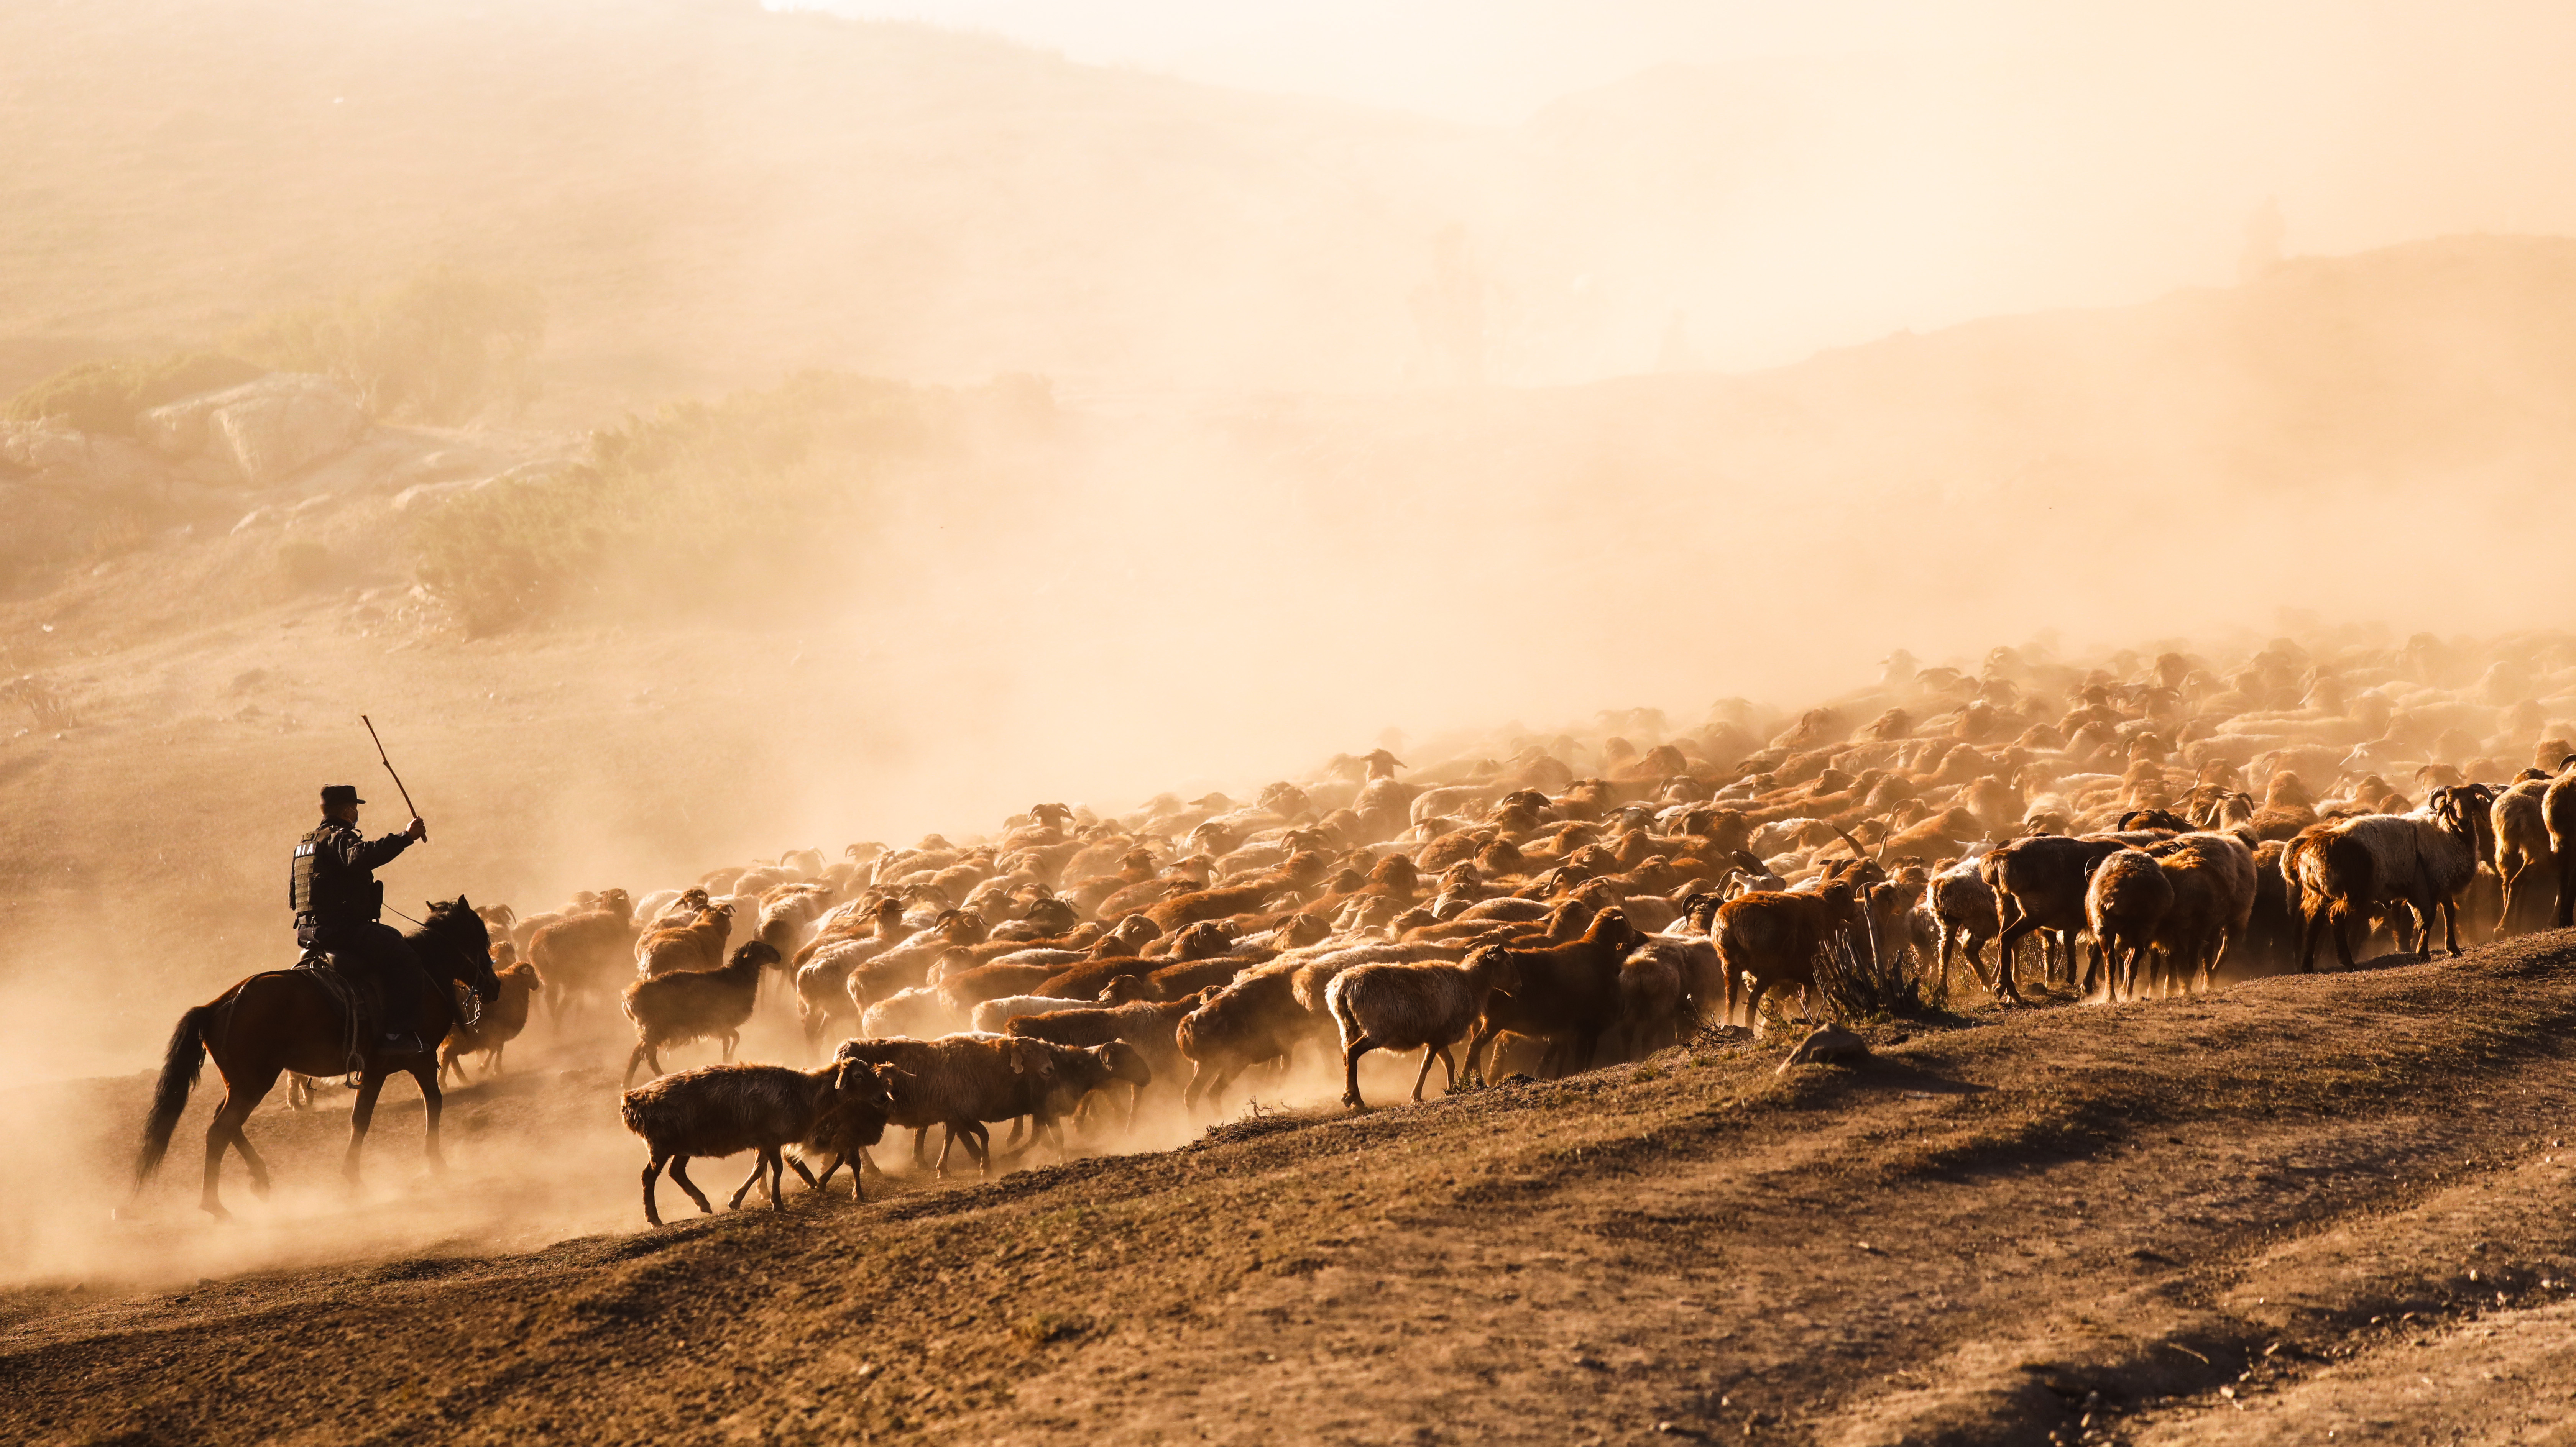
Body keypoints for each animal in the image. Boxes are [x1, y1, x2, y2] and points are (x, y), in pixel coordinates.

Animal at [127, 901, 497, 1215]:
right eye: (481, 937)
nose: (494, 987)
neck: (423, 971)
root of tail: (219, 1004)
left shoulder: (380, 1069)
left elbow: (365, 1118)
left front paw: (355, 1177)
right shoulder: (416, 1059)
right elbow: (427, 1103)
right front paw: (433, 1164)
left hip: (242, 1084)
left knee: (227, 1125)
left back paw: (259, 1180)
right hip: (253, 1085)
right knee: (219, 1131)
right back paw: (216, 1207)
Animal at [621, 1055, 907, 1220]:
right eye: (858, 1076)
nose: (883, 1098)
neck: (804, 1092)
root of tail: (632, 1101)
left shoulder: (765, 1140)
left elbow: (760, 1169)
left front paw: (737, 1200)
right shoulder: (771, 1138)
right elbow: (776, 1169)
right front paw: (777, 1203)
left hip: (683, 1145)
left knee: (677, 1172)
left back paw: (703, 1203)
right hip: (660, 1145)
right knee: (649, 1177)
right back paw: (654, 1218)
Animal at [626, 942, 778, 1076]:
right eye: (761, 949)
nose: (779, 956)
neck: (738, 976)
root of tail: (629, 998)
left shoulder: (723, 1027)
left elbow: (733, 1039)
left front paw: (728, 1060)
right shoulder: (721, 1024)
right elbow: (732, 1041)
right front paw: (727, 1060)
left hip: (651, 1031)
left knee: (638, 1053)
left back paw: (629, 1083)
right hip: (656, 1029)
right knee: (646, 1055)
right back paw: (658, 1076)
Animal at [1339, 947, 1515, 1102]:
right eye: (1508, 962)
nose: (1518, 986)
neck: (1472, 984)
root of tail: (1344, 986)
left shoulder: (1439, 1035)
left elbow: (1449, 1063)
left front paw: (1451, 1089)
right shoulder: (1438, 1038)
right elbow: (1427, 1065)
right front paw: (1416, 1095)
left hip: (1348, 1027)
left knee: (1347, 1056)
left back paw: (1350, 1095)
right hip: (1377, 1030)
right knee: (1353, 1052)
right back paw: (1356, 1100)